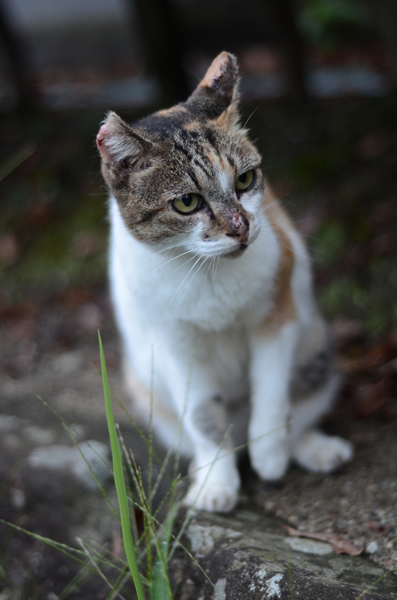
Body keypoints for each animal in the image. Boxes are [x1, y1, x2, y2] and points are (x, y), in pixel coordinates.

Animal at [96, 50, 352, 510]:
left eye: (245, 180)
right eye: (186, 202)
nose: (240, 227)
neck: (207, 272)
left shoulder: (276, 318)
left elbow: (270, 389)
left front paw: (270, 454)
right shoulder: (176, 345)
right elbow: (203, 415)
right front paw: (217, 482)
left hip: (316, 350)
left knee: (300, 409)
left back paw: (310, 448)